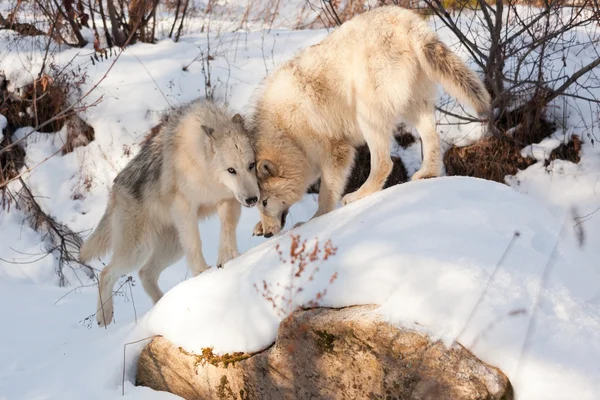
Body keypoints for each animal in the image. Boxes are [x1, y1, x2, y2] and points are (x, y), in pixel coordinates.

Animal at [78, 99, 258, 324]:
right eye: (231, 170)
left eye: (251, 165)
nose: (252, 200)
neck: (202, 165)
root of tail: (115, 189)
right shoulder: (185, 206)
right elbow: (196, 245)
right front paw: (203, 273)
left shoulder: (228, 200)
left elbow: (227, 231)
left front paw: (230, 259)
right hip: (139, 250)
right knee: (105, 272)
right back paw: (105, 317)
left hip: (172, 248)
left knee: (145, 273)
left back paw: (161, 307)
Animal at [251, 5, 490, 238]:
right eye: (257, 204)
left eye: (265, 202)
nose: (268, 235)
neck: (286, 133)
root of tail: (406, 21)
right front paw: (259, 226)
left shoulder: (335, 151)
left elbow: (325, 194)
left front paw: (313, 221)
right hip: (414, 105)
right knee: (431, 138)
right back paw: (426, 174)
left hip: (368, 114)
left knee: (384, 163)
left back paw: (357, 196)